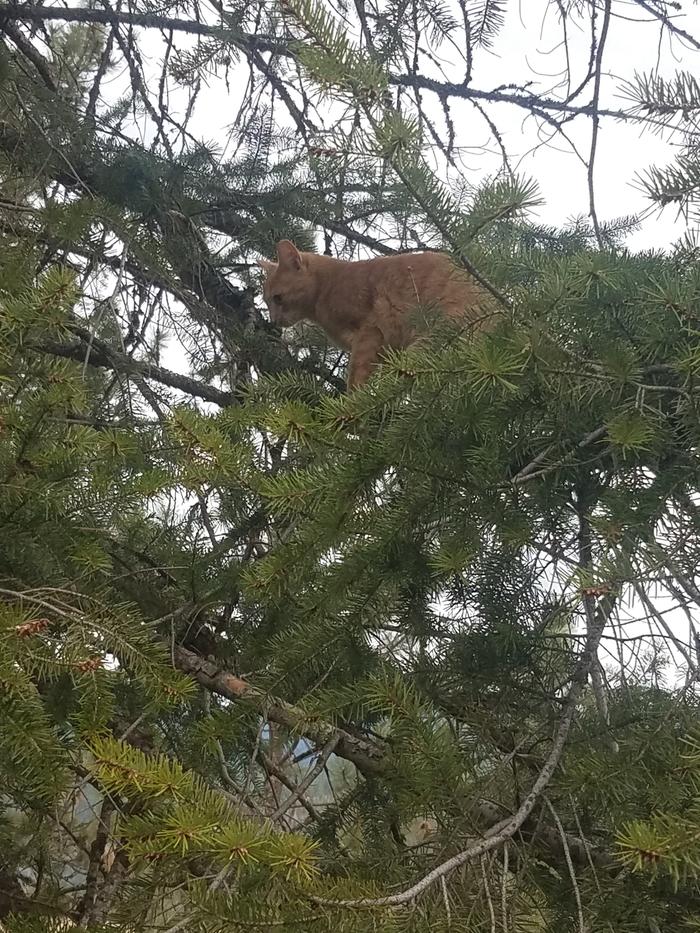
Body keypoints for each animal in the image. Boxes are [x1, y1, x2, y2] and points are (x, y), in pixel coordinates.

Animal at [258, 240, 498, 390]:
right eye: (266, 301)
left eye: (278, 298)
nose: (273, 320)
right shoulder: (384, 349)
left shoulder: (368, 332)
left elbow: (357, 375)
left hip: (432, 335)